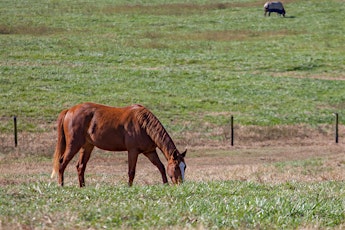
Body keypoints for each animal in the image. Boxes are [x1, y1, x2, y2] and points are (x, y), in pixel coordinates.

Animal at [49, 102, 187, 187]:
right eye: (176, 167)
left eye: (184, 167)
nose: (180, 184)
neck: (143, 124)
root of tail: (69, 111)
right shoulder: (133, 151)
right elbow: (131, 171)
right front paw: (129, 187)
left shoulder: (150, 151)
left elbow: (161, 167)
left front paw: (165, 184)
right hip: (74, 145)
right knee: (62, 163)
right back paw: (61, 185)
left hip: (87, 146)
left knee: (80, 166)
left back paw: (82, 186)